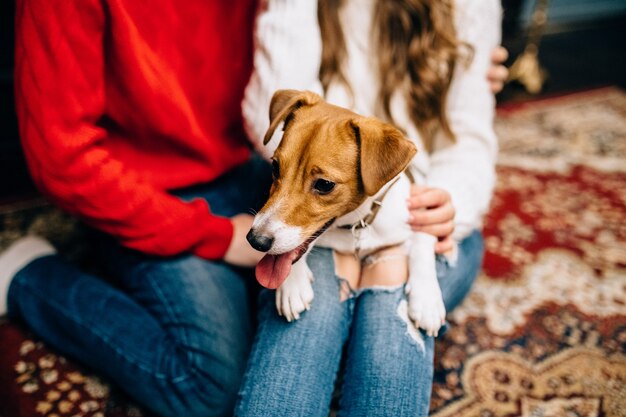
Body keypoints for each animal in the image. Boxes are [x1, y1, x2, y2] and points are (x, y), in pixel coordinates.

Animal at [246, 90, 446, 334]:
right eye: (275, 166)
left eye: (324, 184)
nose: (256, 240)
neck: (355, 224)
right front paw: (292, 285)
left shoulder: (415, 210)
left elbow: (423, 240)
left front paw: (427, 300)